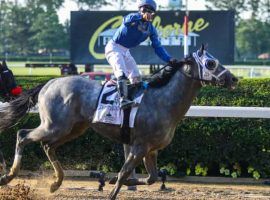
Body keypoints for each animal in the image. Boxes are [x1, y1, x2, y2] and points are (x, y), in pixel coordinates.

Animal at [0, 46, 236, 199]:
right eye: (211, 63)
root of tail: (49, 83)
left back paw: (55, 183)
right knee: (23, 135)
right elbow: (124, 173)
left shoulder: (151, 150)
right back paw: (9, 176)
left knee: (47, 146)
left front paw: (114, 181)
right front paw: (114, 186)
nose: (234, 79)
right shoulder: (139, 146)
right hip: (54, 126)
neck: (163, 101)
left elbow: (151, 178)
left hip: (72, 129)